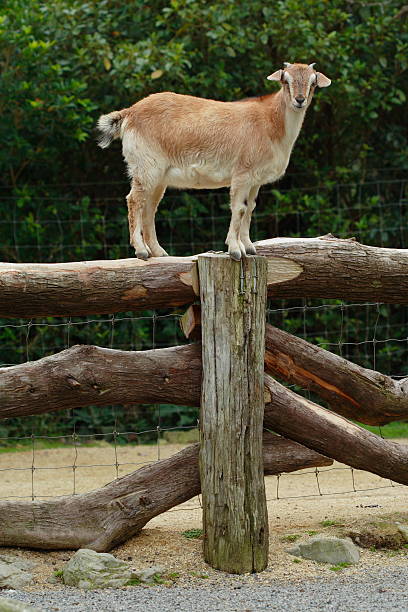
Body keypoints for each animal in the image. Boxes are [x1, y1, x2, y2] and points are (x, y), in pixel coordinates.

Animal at [98, 62, 332, 260]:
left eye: (313, 83)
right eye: (285, 80)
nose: (299, 100)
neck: (270, 123)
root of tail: (129, 113)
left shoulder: (255, 180)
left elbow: (250, 208)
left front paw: (249, 248)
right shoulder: (242, 172)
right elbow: (239, 208)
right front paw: (235, 250)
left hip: (158, 176)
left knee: (149, 208)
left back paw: (158, 252)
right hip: (146, 166)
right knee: (134, 200)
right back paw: (141, 250)